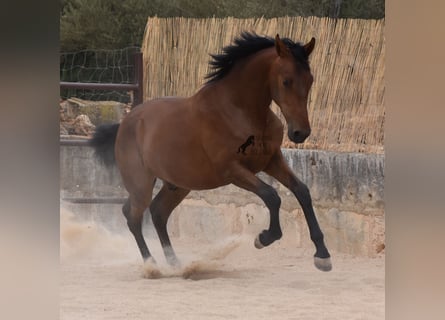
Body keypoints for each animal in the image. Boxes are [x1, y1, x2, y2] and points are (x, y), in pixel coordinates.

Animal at [90, 32, 332, 272]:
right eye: (286, 81)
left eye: (310, 80)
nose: (300, 133)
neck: (240, 111)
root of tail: (125, 122)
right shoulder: (232, 171)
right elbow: (272, 196)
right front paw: (263, 238)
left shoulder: (272, 161)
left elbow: (302, 192)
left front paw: (322, 255)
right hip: (142, 185)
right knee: (132, 216)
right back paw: (152, 266)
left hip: (178, 185)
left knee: (158, 213)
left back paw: (175, 263)